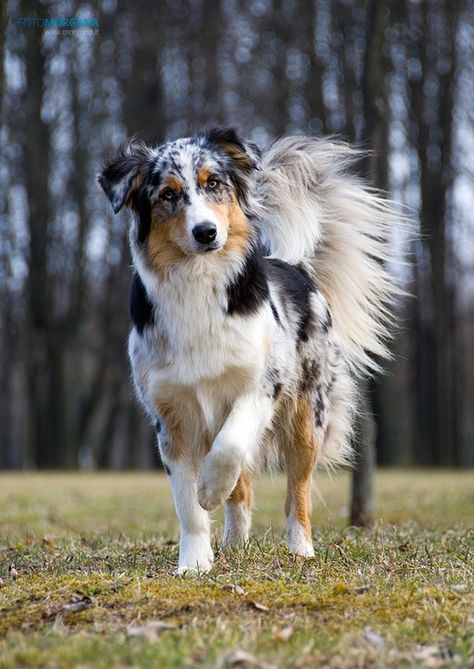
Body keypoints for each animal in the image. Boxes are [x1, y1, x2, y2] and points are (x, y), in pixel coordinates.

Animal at [99, 128, 400, 572]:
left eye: (214, 184)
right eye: (168, 194)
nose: (206, 231)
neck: (198, 281)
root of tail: (295, 266)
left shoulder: (261, 386)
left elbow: (231, 447)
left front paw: (209, 489)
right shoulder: (170, 416)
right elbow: (188, 506)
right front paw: (194, 563)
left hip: (307, 416)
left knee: (298, 492)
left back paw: (300, 548)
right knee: (243, 492)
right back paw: (234, 544)